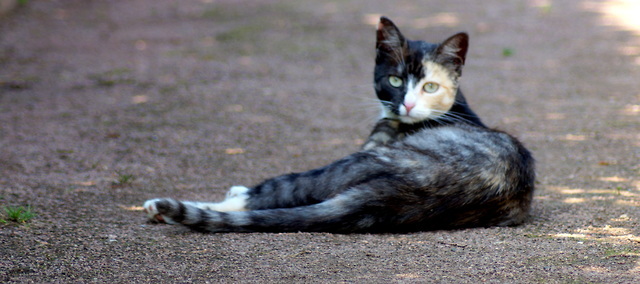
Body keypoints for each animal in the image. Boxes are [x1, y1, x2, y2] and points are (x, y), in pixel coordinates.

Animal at [144, 16, 536, 233]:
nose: (407, 104)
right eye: (395, 80)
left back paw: (167, 208)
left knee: (279, 192)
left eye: (430, 86)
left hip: (354, 164)